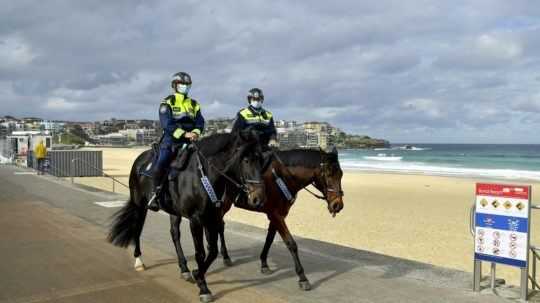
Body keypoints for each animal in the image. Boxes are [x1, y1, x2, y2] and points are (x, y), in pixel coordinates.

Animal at [107, 131, 266, 303]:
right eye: (246, 160)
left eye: (261, 160)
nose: (258, 198)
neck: (203, 176)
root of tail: (140, 160)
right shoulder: (196, 220)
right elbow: (200, 253)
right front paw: (203, 287)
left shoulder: (211, 217)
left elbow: (212, 251)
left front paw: (197, 273)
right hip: (140, 204)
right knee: (137, 228)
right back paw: (138, 261)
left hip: (174, 212)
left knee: (175, 234)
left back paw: (184, 269)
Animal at [168, 148, 346, 290]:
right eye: (328, 174)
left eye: (341, 174)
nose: (337, 204)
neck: (281, 177)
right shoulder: (276, 215)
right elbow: (291, 243)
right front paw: (302, 277)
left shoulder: (277, 215)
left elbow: (269, 239)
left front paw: (264, 263)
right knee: (211, 228)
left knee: (219, 227)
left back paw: (222, 255)